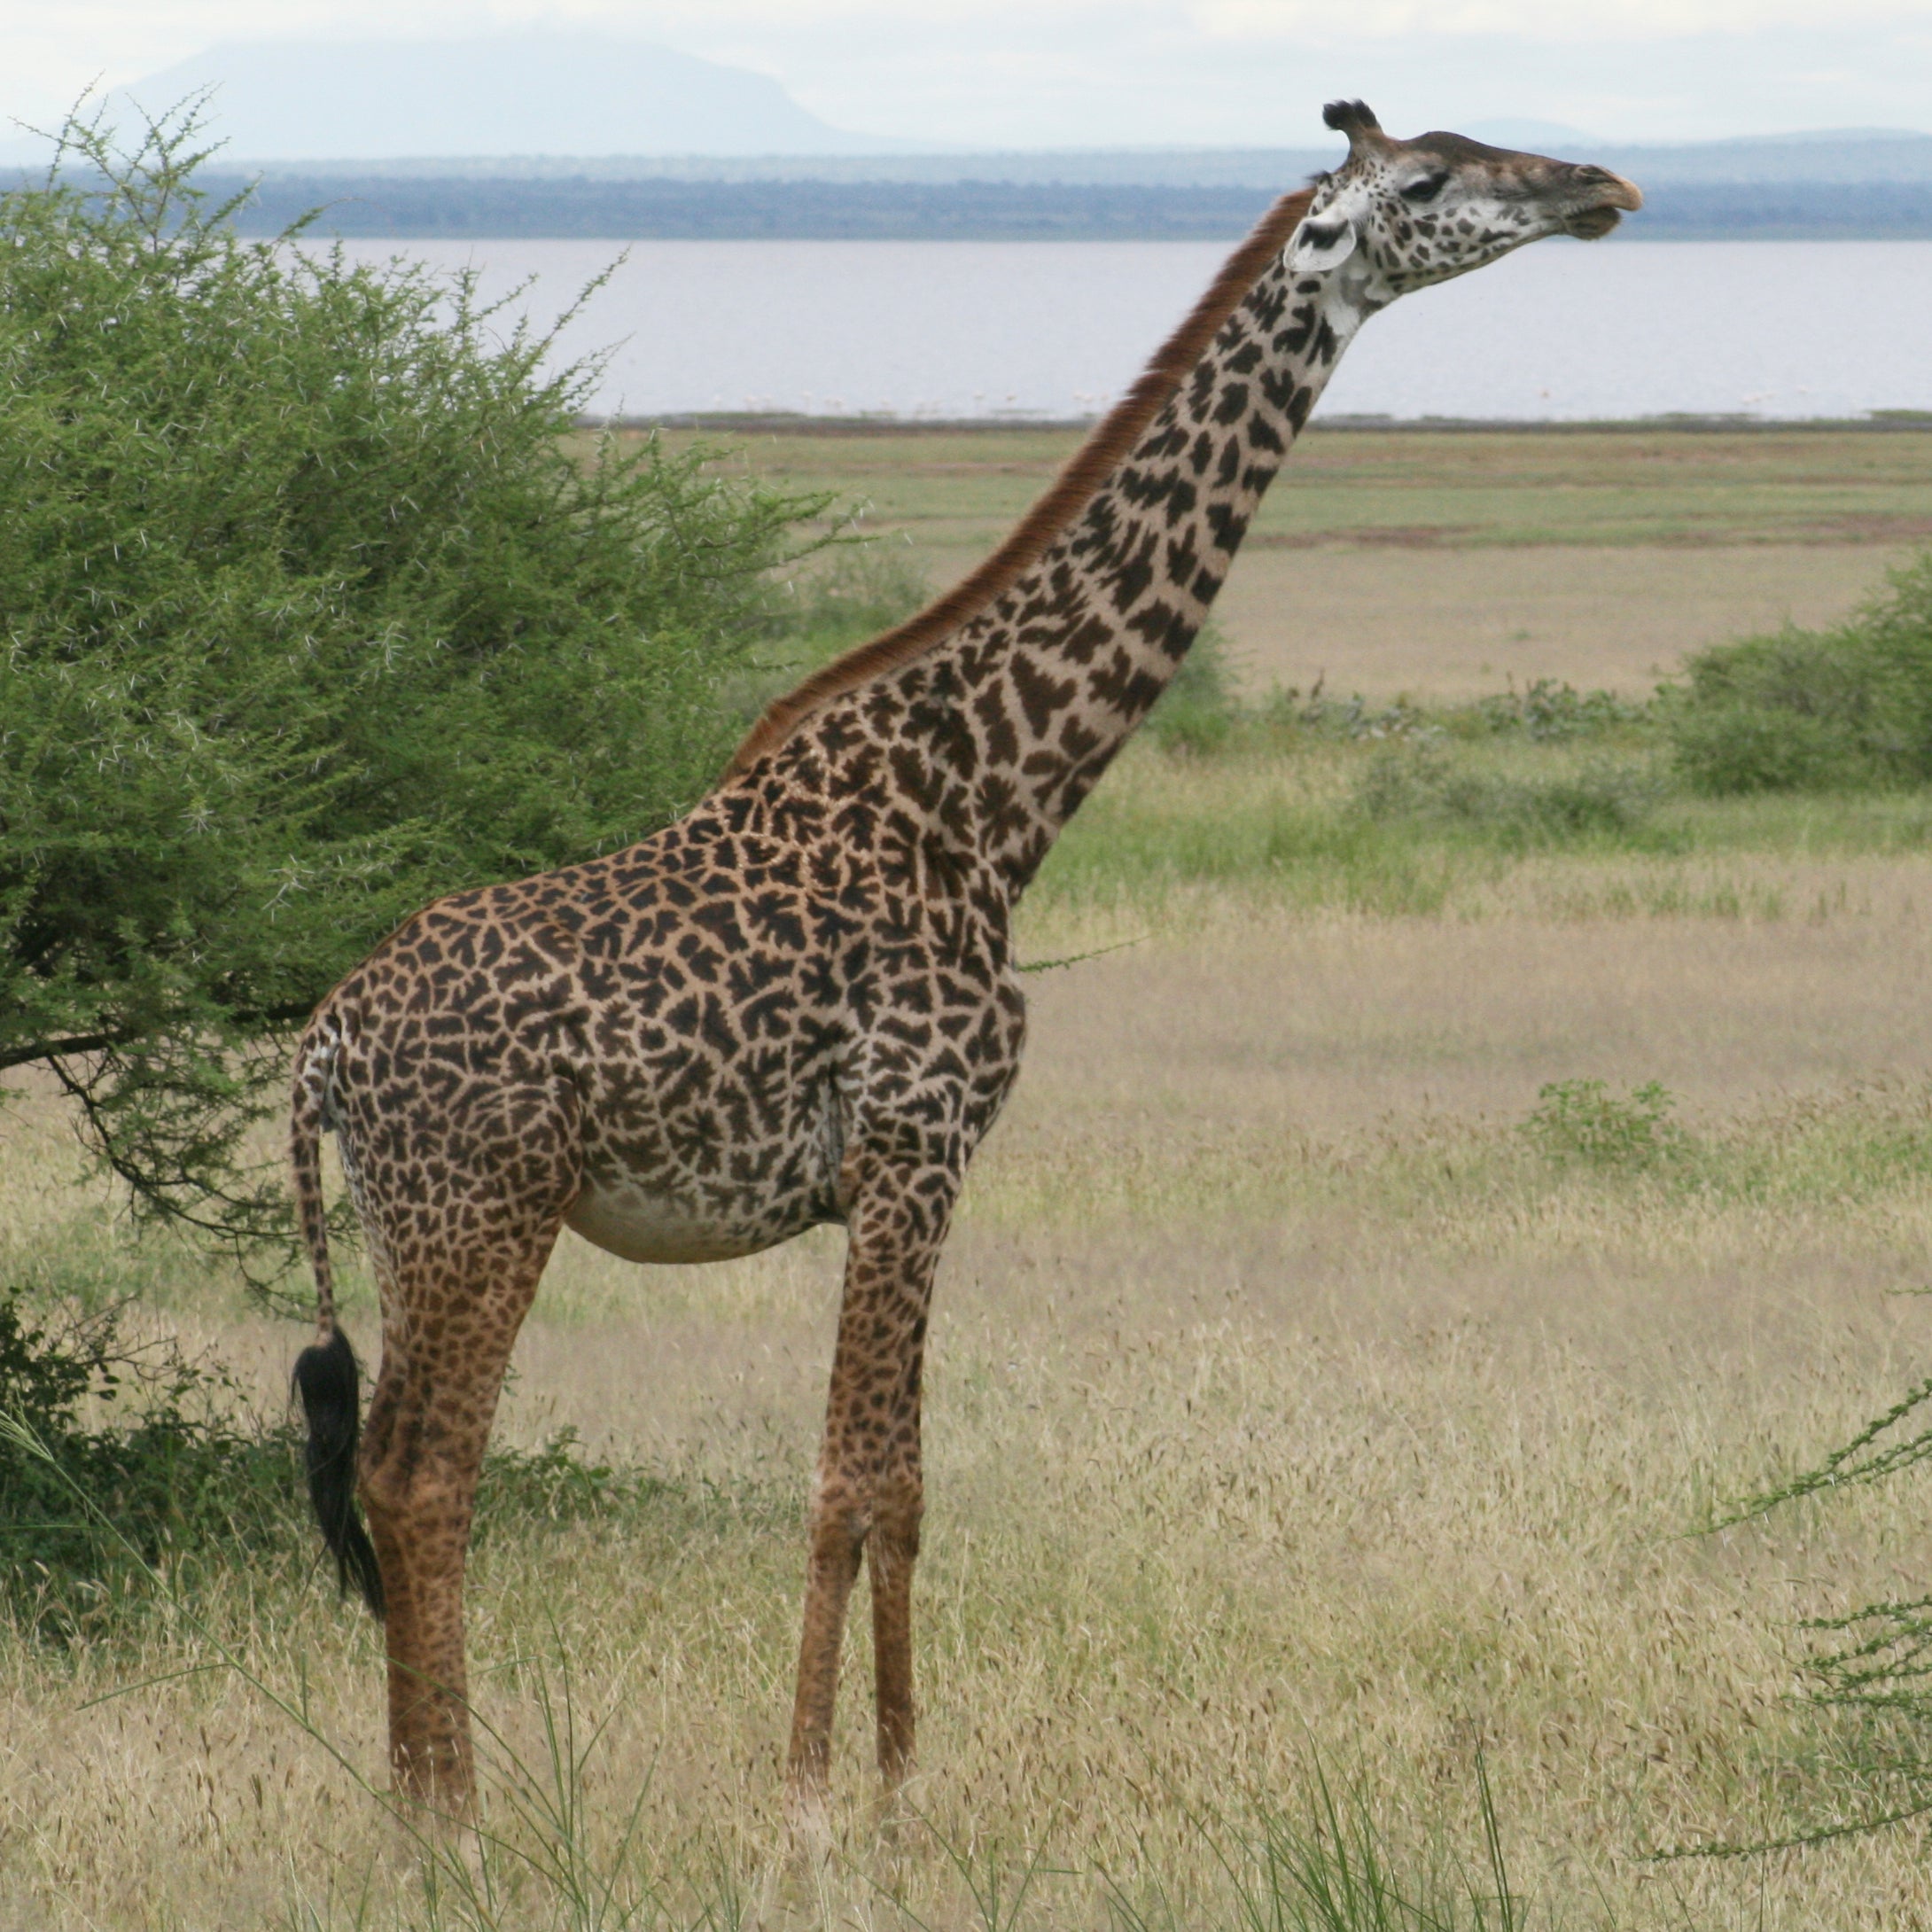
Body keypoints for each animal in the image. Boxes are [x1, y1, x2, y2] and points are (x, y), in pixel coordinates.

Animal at [290, 101, 1640, 1815]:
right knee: (424, 1473)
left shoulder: (928, 1171)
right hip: (485, 1210)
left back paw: (418, 1814)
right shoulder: (911, 1143)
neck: (994, 801)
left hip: (413, 1224)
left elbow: (908, 1485)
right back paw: (455, 1823)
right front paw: (818, 1805)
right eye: (1424, 180)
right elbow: (848, 1477)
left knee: (392, 1468)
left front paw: (897, 1783)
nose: (1604, 186)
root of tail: (326, 1037)